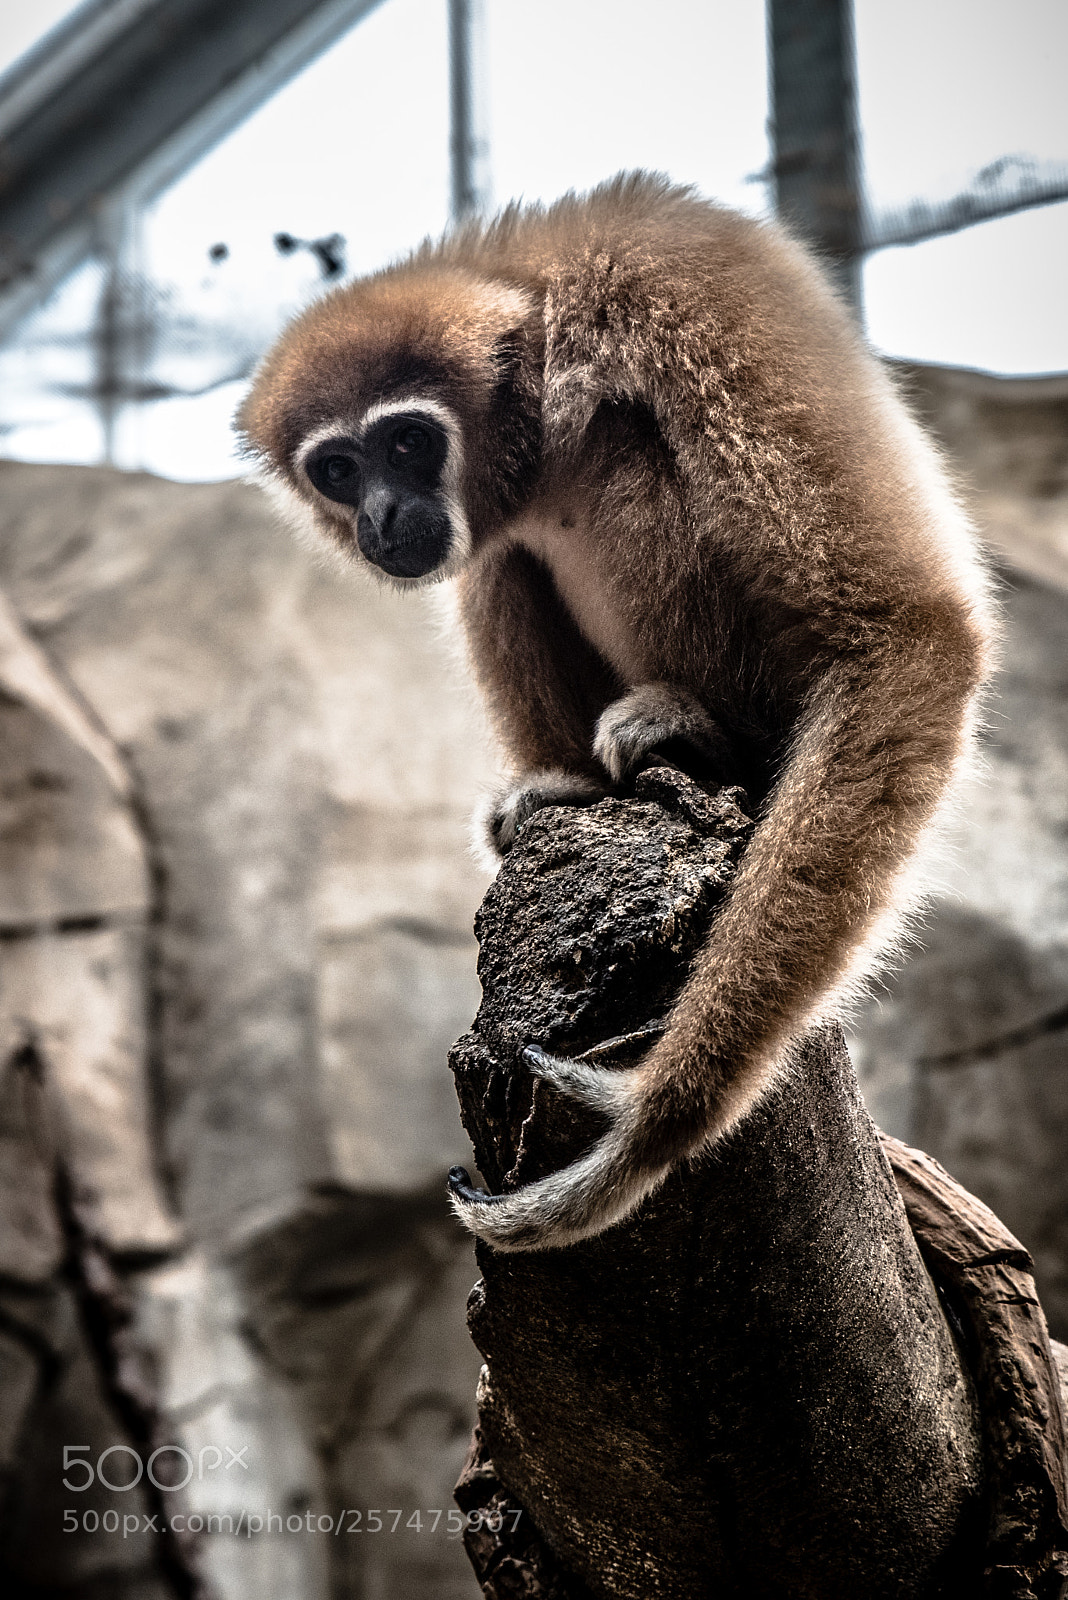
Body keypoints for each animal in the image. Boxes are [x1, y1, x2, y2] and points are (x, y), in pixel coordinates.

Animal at [237, 173, 995, 1253]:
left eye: (408, 442)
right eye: (338, 467)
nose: (380, 513)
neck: (539, 323)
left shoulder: (682, 287)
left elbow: (906, 632)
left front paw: (658, 1125)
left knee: (625, 452)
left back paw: (689, 726)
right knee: (503, 552)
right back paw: (564, 784)